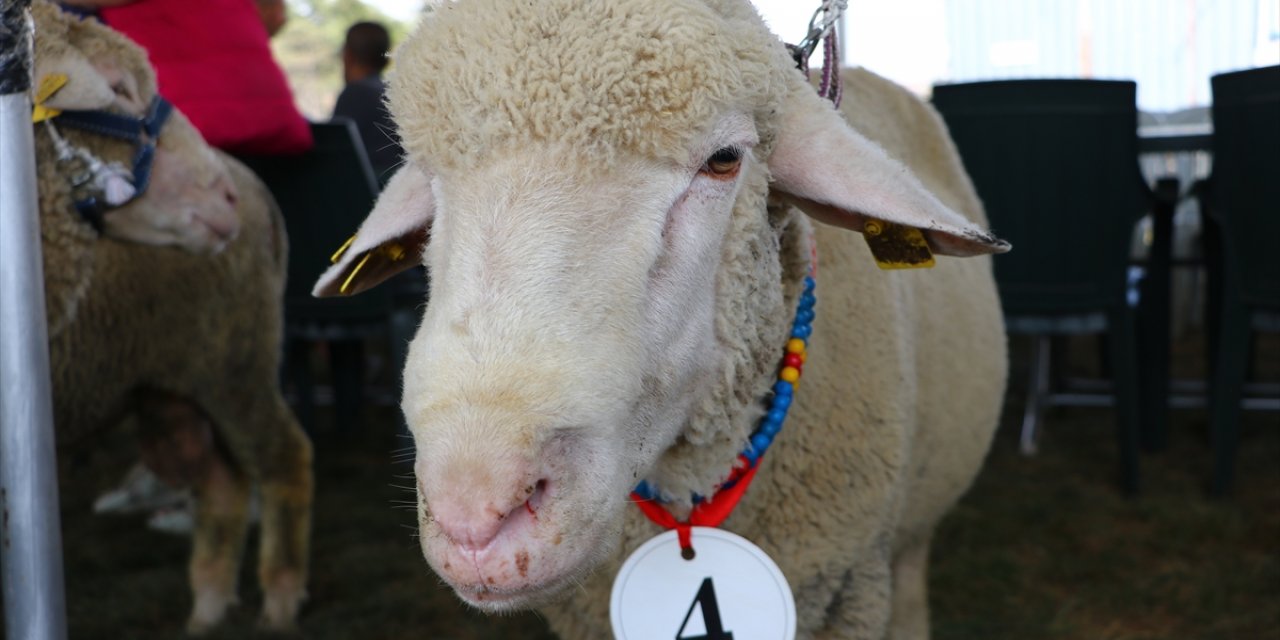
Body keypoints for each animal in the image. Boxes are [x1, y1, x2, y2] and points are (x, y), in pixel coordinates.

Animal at [32, 3, 312, 634]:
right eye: (116, 88)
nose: (224, 198)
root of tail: (260, 188)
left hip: (236, 358)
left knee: (284, 456)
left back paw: (280, 603)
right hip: (173, 385)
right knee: (223, 483)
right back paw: (207, 610)